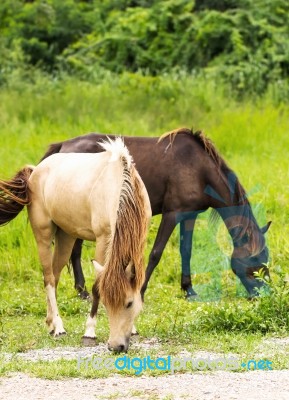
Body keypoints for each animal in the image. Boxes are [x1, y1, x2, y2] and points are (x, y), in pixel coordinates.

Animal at [0, 139, 152, 352]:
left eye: (129, 303)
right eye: (107, 304)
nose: (116, 346)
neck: (117, 185)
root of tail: (36, 170)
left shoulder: (140, 241)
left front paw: (135, 330)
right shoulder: (103, 238)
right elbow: (97, 287)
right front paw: (89, 332)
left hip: (66, 237)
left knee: (55, 275)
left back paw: (51, 324)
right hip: (43, 235)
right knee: (48, 278)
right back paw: (59, 328)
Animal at [41, 128, 270, 300]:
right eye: (256, 259)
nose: (265, 294)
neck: (200, 170)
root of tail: (63, 146)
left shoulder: (189, 215)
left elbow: (186, 251)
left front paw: (188, 289)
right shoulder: (172, 214)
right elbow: (155, 253)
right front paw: (140, 291)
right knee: (75, 251)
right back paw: (82, 291)